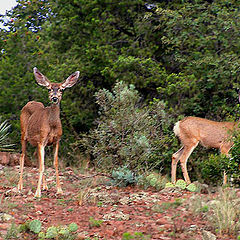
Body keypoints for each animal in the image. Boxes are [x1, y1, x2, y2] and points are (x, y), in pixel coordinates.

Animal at [18, 67, 79, 197]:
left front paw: (59, 190)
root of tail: (28, 103)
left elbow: (54, 163)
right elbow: (42, 165)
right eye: (49, 88)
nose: (54, 98)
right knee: (22, 156)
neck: (52, 126)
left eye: (61, 89)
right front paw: (37, 193)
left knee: (37, 159)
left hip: (36, 142)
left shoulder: (56, 140)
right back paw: (19, 186)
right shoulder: (42, 140)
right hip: (23, 133)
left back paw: (45, 186)